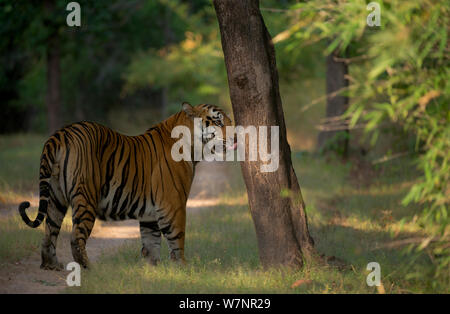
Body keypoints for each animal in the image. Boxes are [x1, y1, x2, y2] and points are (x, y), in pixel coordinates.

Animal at [18, 102, 234, 268]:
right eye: (218, 121)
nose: (236, 136)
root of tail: (60, 134)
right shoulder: (173, 205)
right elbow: (177, 239)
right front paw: (183, 268)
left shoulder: (150, 214)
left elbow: (151, 244)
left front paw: (152, 271)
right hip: (85, 197)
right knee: (76, 237)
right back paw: (88, 269)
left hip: (56, 197)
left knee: (49, 232)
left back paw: (51, 265)